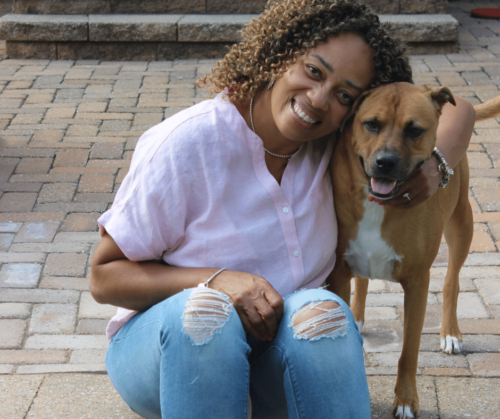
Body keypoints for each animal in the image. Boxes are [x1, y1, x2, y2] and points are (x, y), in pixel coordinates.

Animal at [328, 83, 500, 419]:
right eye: (371, 124)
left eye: (415, 130)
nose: (386, 162)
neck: (378, 203)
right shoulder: (340, 272)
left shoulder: (418, 284)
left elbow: (409, 351)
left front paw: (406, 400)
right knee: (363, 281)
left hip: (463, 223)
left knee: (452, 282)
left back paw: (450, 332)